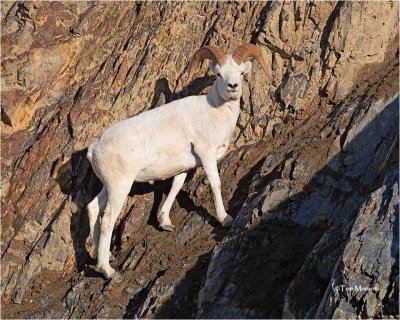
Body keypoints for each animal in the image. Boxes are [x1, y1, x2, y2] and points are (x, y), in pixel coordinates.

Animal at [86, 43, 270, 280]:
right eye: (218, 74)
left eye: (240, 73)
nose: (233, 86)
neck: (214, 113)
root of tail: (94, 148)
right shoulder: (206, 154)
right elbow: (215, 184)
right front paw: (225, 219)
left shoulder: (184, 167)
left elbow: (176, 186)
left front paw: (165, 223)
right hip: (120, 187)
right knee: (107, 219)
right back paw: (109, 271)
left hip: (108, 187)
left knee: (92, 208)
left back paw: (104, 257)